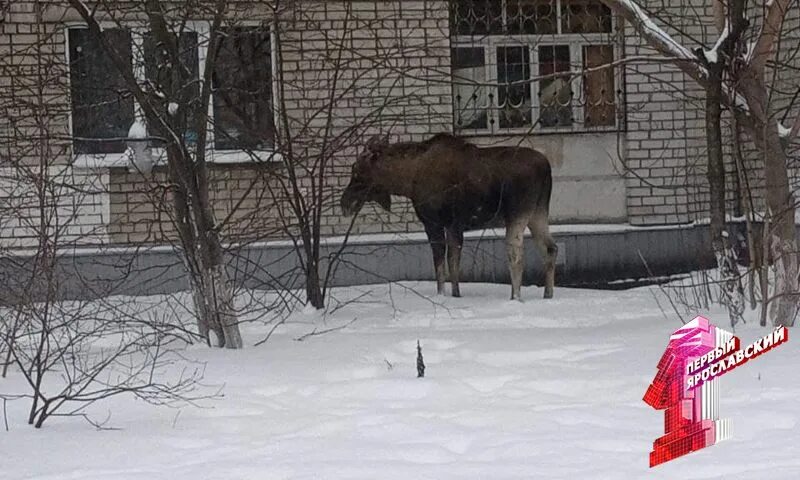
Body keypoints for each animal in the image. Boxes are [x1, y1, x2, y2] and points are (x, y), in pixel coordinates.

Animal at [342, 133, 556, 300]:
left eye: (357, 170)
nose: (345, 203)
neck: (407, 181)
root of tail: (547, 168)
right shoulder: (454, 226)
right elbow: (453, 264)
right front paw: (456, 295)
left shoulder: (435, 223)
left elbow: (442, 264)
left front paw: (443, 295)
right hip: (538, 213)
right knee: (550, 248)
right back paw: (548, 294)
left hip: (517, 215)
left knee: (516, 255)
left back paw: (515, 297)